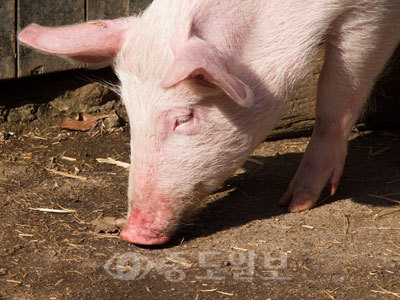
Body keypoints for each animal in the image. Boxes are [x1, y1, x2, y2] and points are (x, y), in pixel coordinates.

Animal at [19, 0, 400, 245]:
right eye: (129, 111)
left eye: (183, 117)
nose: (131, 234)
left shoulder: (370, 14)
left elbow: (337, 93)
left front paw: (296, 203)